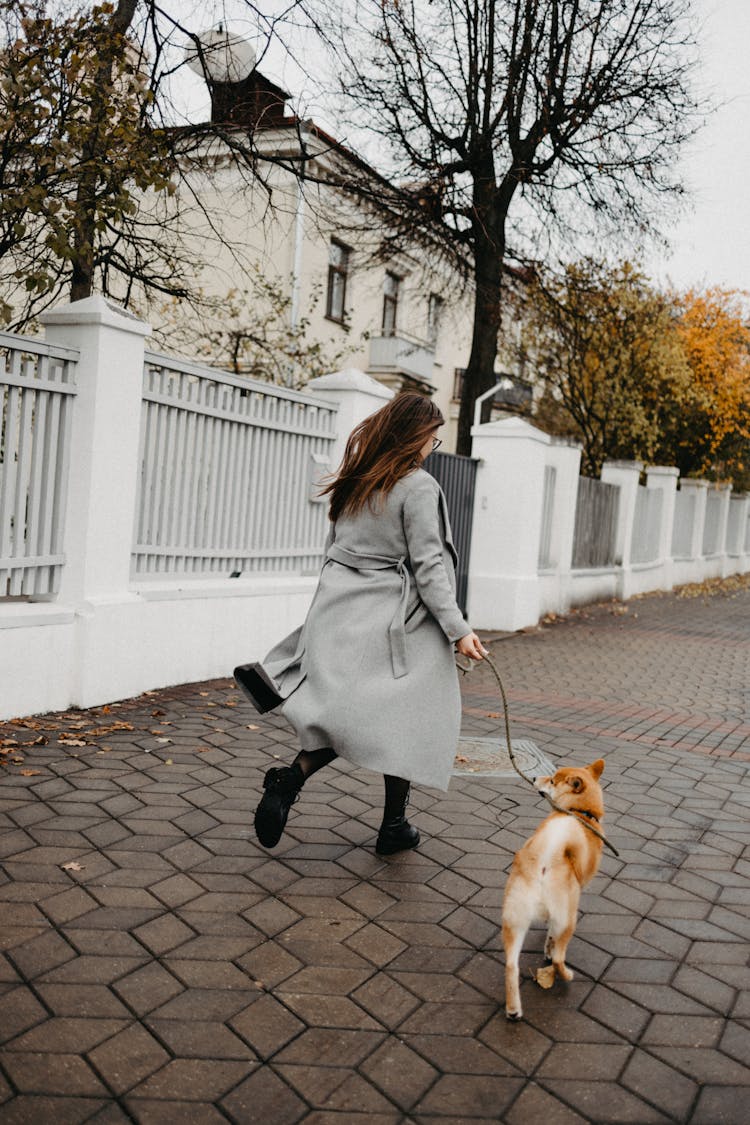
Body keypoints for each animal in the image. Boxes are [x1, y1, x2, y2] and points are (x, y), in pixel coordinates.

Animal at [501, 760, 607, 1026]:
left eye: (551, 780)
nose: (534, 777)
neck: (579, 813)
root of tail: (545, 861)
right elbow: (552, 939)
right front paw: (548, 951)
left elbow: (549, 935)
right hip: (569, 919)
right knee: (559, 957)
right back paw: (566, 975)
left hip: (514, 921)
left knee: (511, 966)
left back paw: (513, 1010)